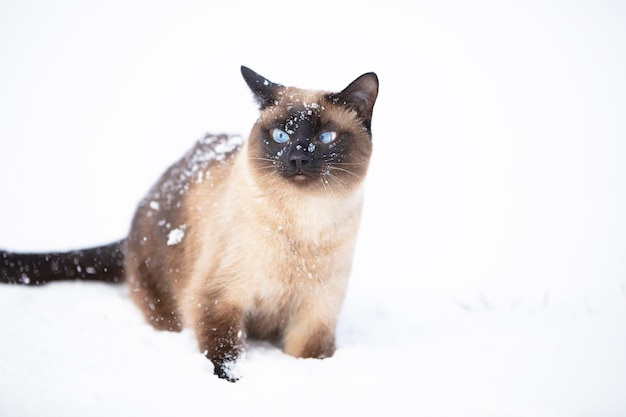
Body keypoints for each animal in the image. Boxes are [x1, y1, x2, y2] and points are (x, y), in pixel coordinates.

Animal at [0, 66, 378, 382]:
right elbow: (224, 354)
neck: (303, 225)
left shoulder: (315, 313)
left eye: (325, 138)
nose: (297, 157)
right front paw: (233, 383)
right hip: (163, 302)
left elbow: (311, 357)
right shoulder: (218, 299)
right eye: (280, 137)